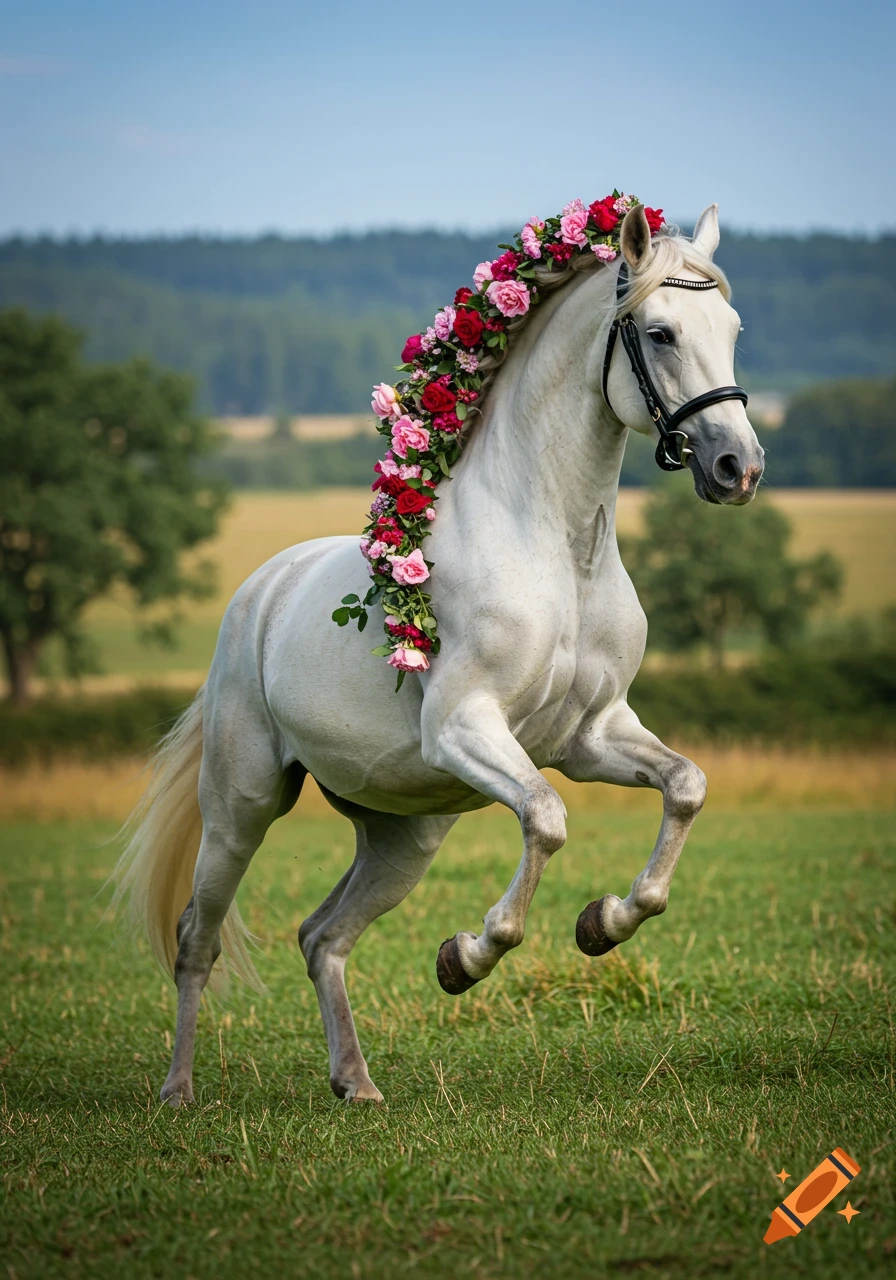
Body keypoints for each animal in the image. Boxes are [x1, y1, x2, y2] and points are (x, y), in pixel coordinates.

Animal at [115, 203, 764, 1105]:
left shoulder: (590, 736)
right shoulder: (467, 728)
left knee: (322, 936)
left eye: (732, 330)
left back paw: (356, 1083)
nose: (739, 467)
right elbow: (546, 820)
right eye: (661, 332)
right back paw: (178, 1091)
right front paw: (468, 956)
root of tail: (260, 595)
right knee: (195, 938)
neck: (557, 551)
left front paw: (602, 923)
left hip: (402, 836)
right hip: (241, 807)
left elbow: (687, 786)